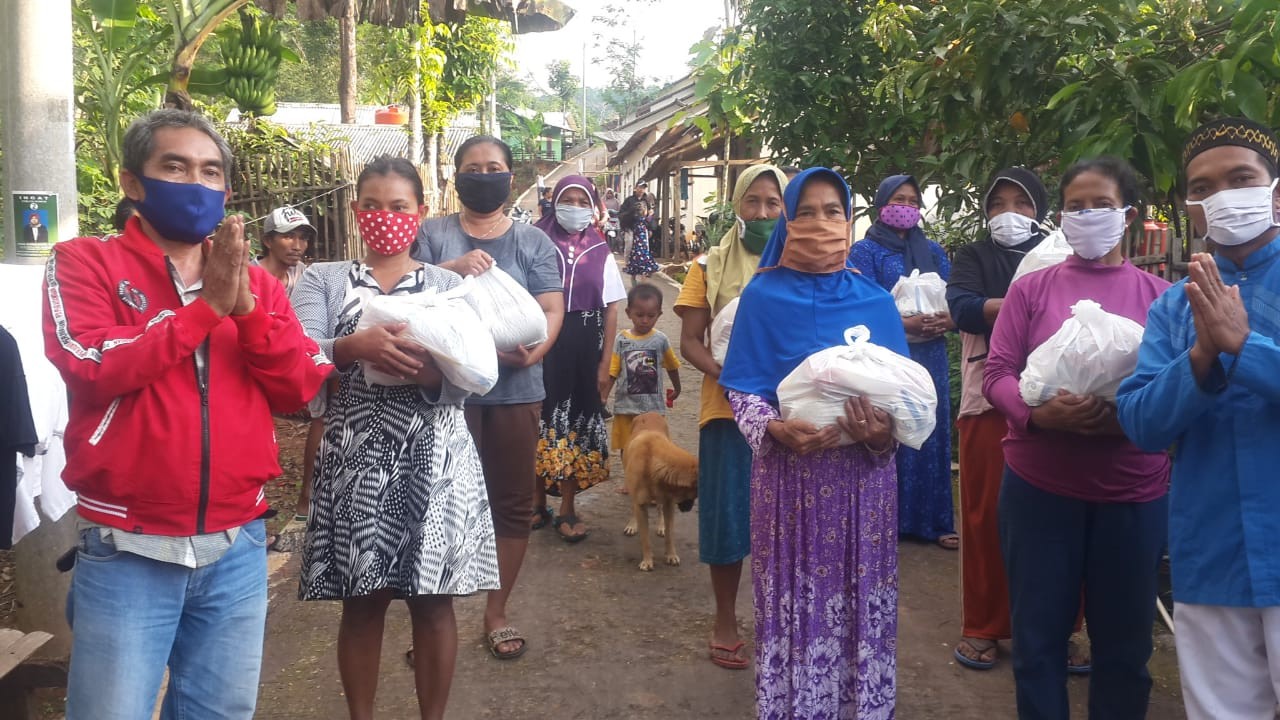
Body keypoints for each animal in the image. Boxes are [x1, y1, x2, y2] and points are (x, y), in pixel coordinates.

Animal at [622, 412, 701, 568]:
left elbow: (670, 534)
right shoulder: (640, 505)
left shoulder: (669, 503)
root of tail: (649, 412)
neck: (651, 460)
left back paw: (661, 526)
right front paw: (647, 560)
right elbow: (645, 539)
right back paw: (632, 524)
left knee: (659, 508)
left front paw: (671, 555)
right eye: (695, 495)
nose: (687, 509)